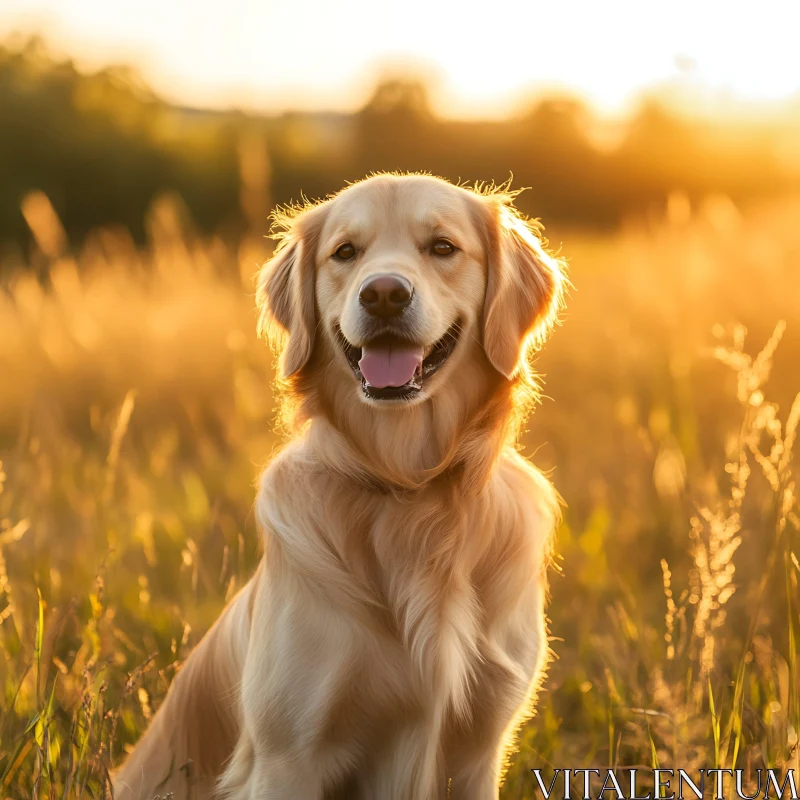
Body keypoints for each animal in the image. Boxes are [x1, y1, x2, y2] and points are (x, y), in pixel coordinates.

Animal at [115, 172, 568, 796]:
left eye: (443, 247)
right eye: (345, 253)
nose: (383, 294)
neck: (410, 488)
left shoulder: (478, 749)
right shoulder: (286, 756)